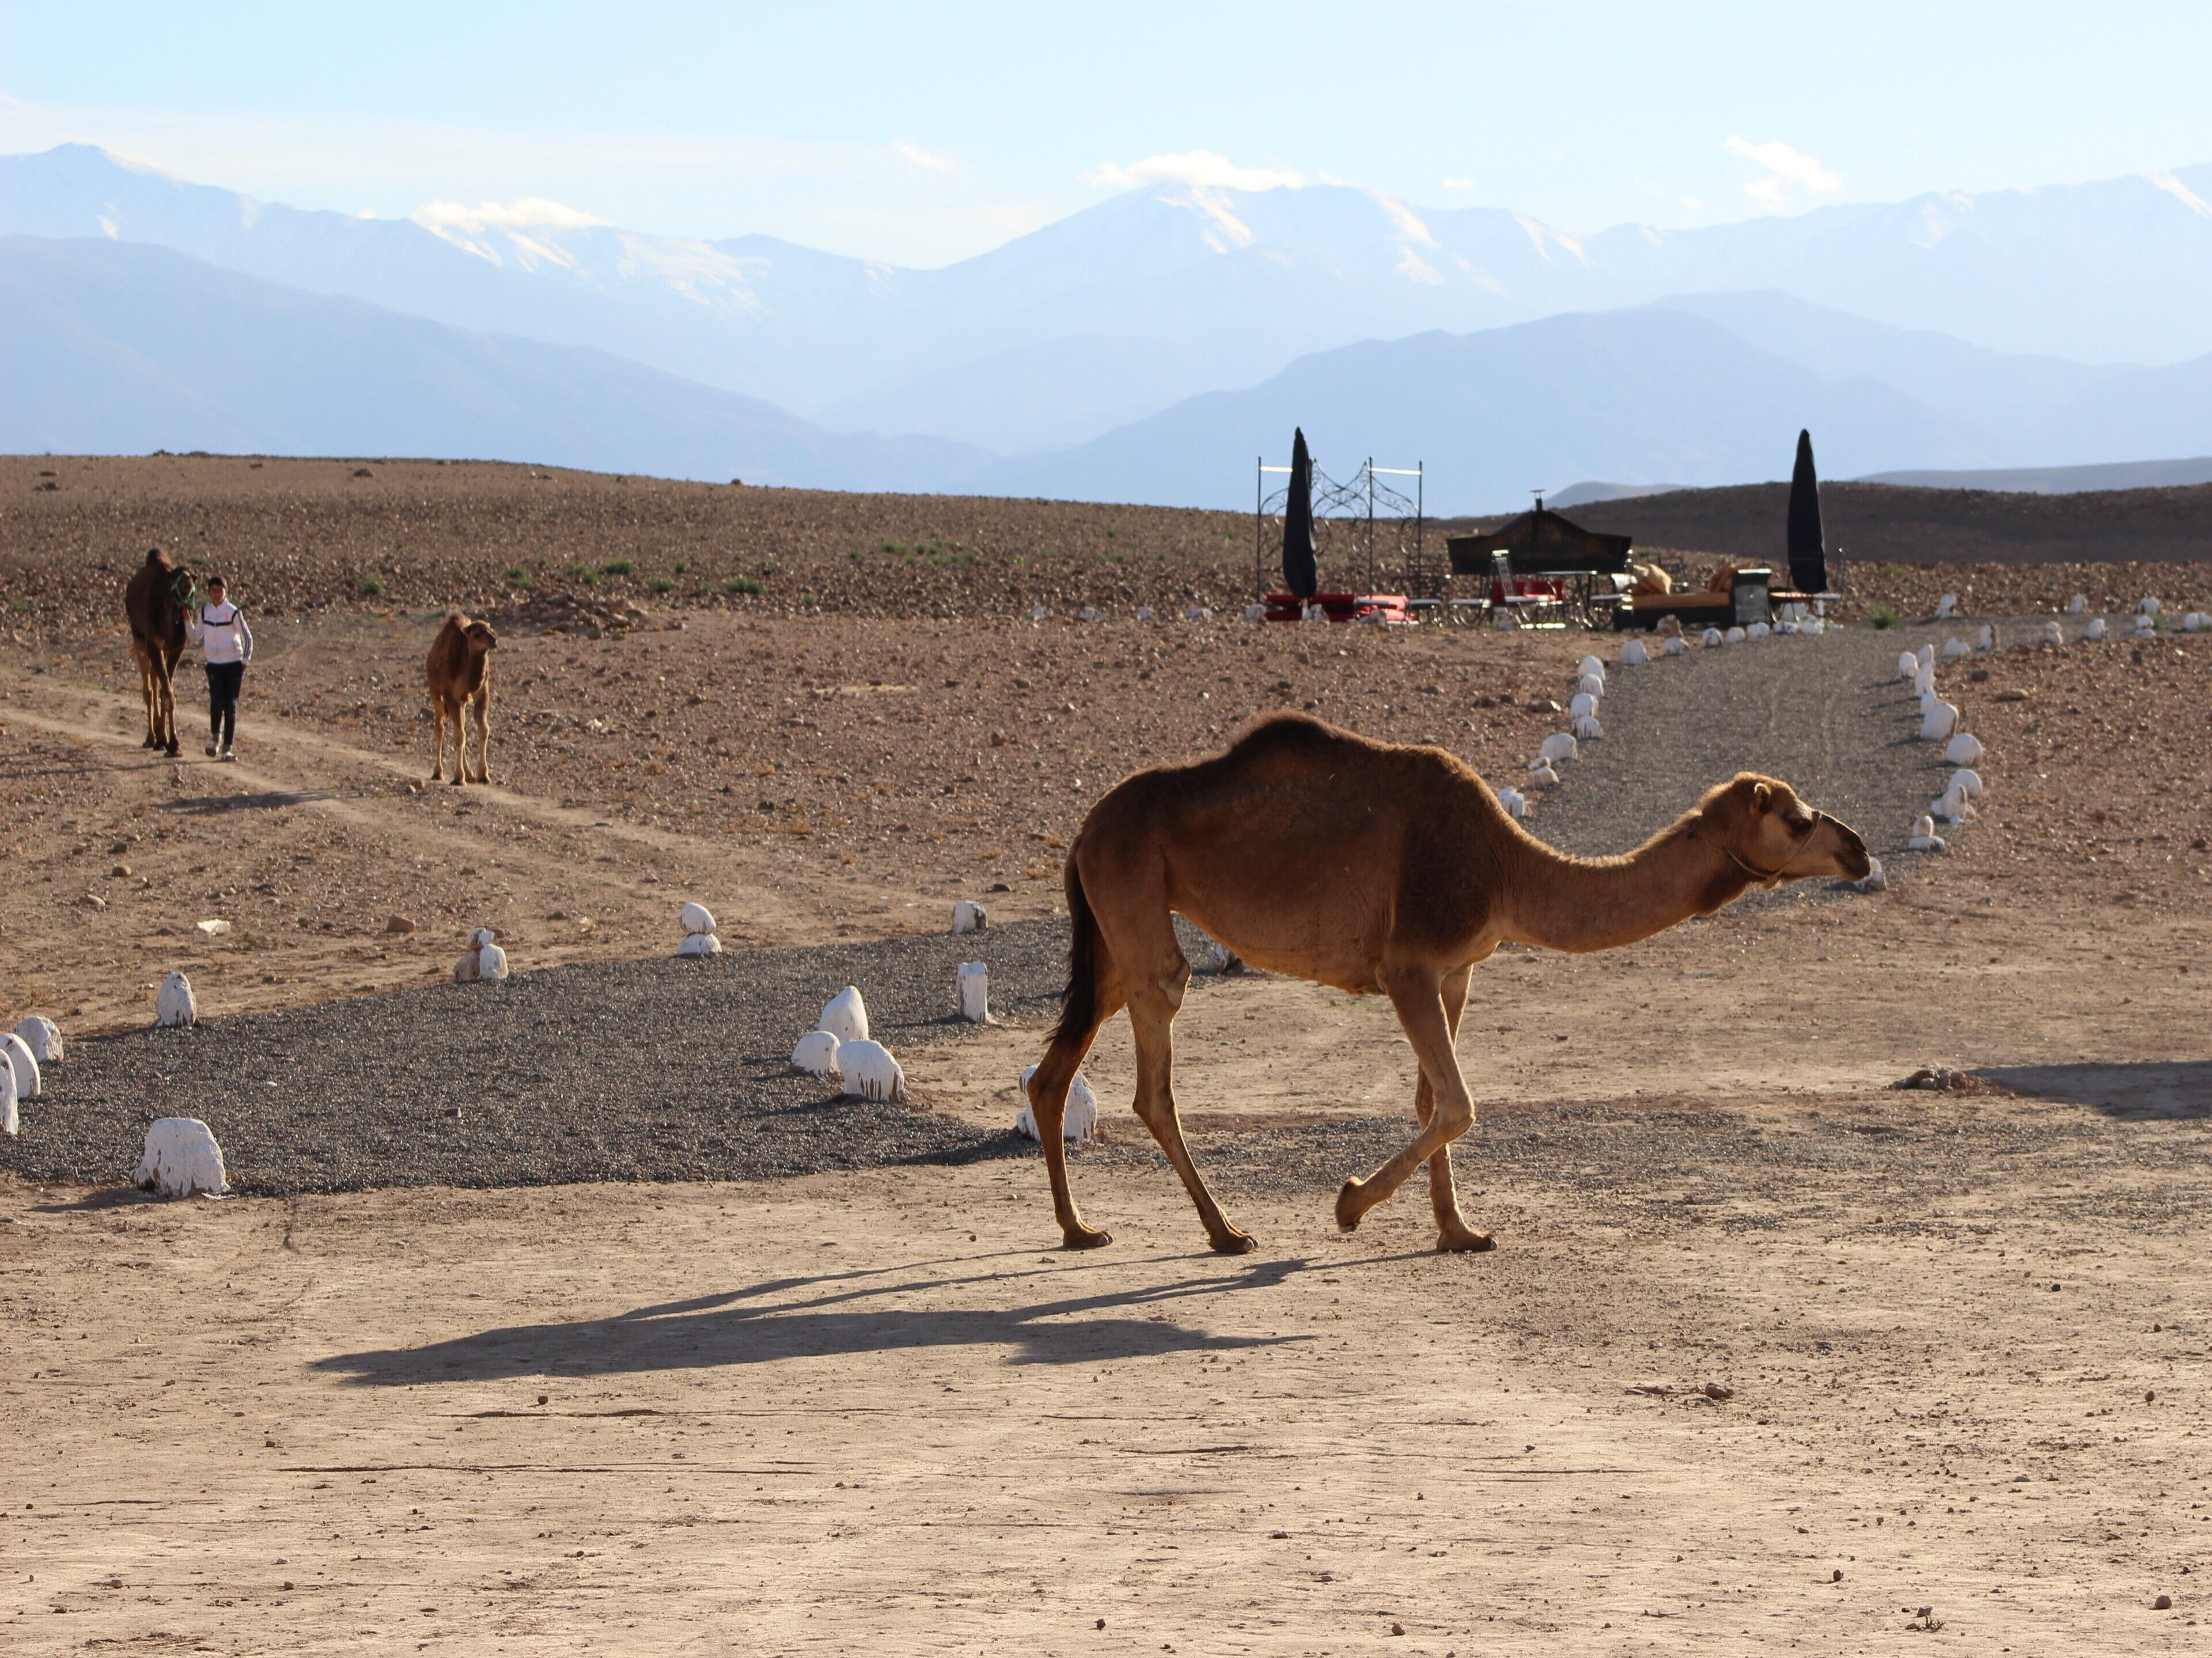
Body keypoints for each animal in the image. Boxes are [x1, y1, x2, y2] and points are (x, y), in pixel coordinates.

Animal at [124, 547, 191, 755]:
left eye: (192, 577)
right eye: (175, 585)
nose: (188, 582)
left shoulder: (176, 648)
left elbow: (166, 692)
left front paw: (168, 741)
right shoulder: (153, 644)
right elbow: (166, 694)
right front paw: (172, 744)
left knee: (155, 680)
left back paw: (159, 738)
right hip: (139, 640)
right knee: (148, 689)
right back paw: (150, 738)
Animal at [425, 612, 498, 784]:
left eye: (490, 628)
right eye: (477, 634)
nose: (494, 640)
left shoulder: (482, 691)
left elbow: (483, 729)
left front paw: (483, 775)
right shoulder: (450, 694)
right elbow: (459, 734)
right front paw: (459, 778)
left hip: (463, 700)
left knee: (461, 726)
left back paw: (469, 774)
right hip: (436, 691)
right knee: (440, 728)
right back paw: (438, 772)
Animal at [1023, 713, 1869, 1256]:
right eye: (1798, 820)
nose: (1859, 847)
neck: (1508, 867)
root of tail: (1084, 828)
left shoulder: (1459, 969)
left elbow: (1431, 1098)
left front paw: (1459, 1231)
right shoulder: (1409, 963)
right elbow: (1460, 1102)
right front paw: (1350, 1203)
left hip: (1112, 921)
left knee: (1056, 1067)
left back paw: (1078, 1227)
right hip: (1134, 890)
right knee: (1155, 1056)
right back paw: (1225, 1231)